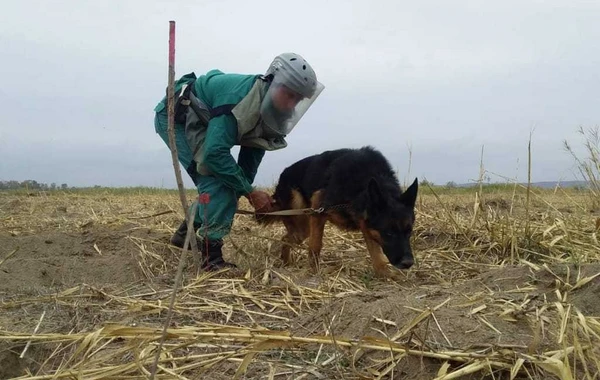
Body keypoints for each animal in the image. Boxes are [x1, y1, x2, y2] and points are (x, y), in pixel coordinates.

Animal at [255, 145, 420, 276]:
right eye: (389, 233)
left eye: (409, 231)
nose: (408, 263)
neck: (361, 185)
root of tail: (283, 175)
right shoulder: (319, 209)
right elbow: (315, 246)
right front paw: (314, 273)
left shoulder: (366, 223)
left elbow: (376, 253)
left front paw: (385, 275)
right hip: (302, 218)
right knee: (289, 238)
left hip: (304, 227)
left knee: (285, 238)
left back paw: (286, 264)